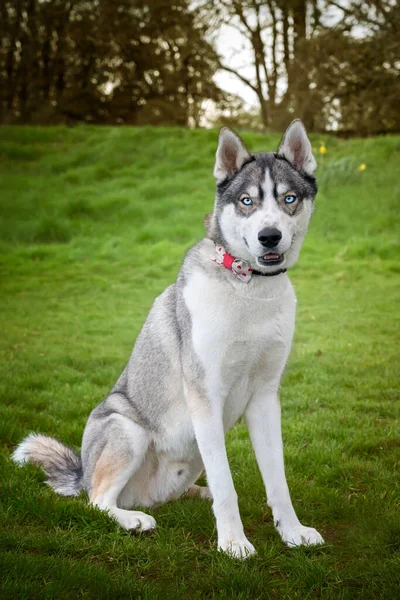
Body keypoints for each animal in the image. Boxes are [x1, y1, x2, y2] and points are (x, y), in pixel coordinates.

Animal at [12, 120, 324, 556]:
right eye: (247, 201)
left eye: (289, 198)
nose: (269, 236)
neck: (248, 288)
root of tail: (83, 473)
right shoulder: (205, 395)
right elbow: (227, 484)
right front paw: (233, 542)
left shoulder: (265, 396)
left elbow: (276, 481)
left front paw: (292, 531)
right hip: (127, 429)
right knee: (98, 500)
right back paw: (133, 519)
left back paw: (195, 495)